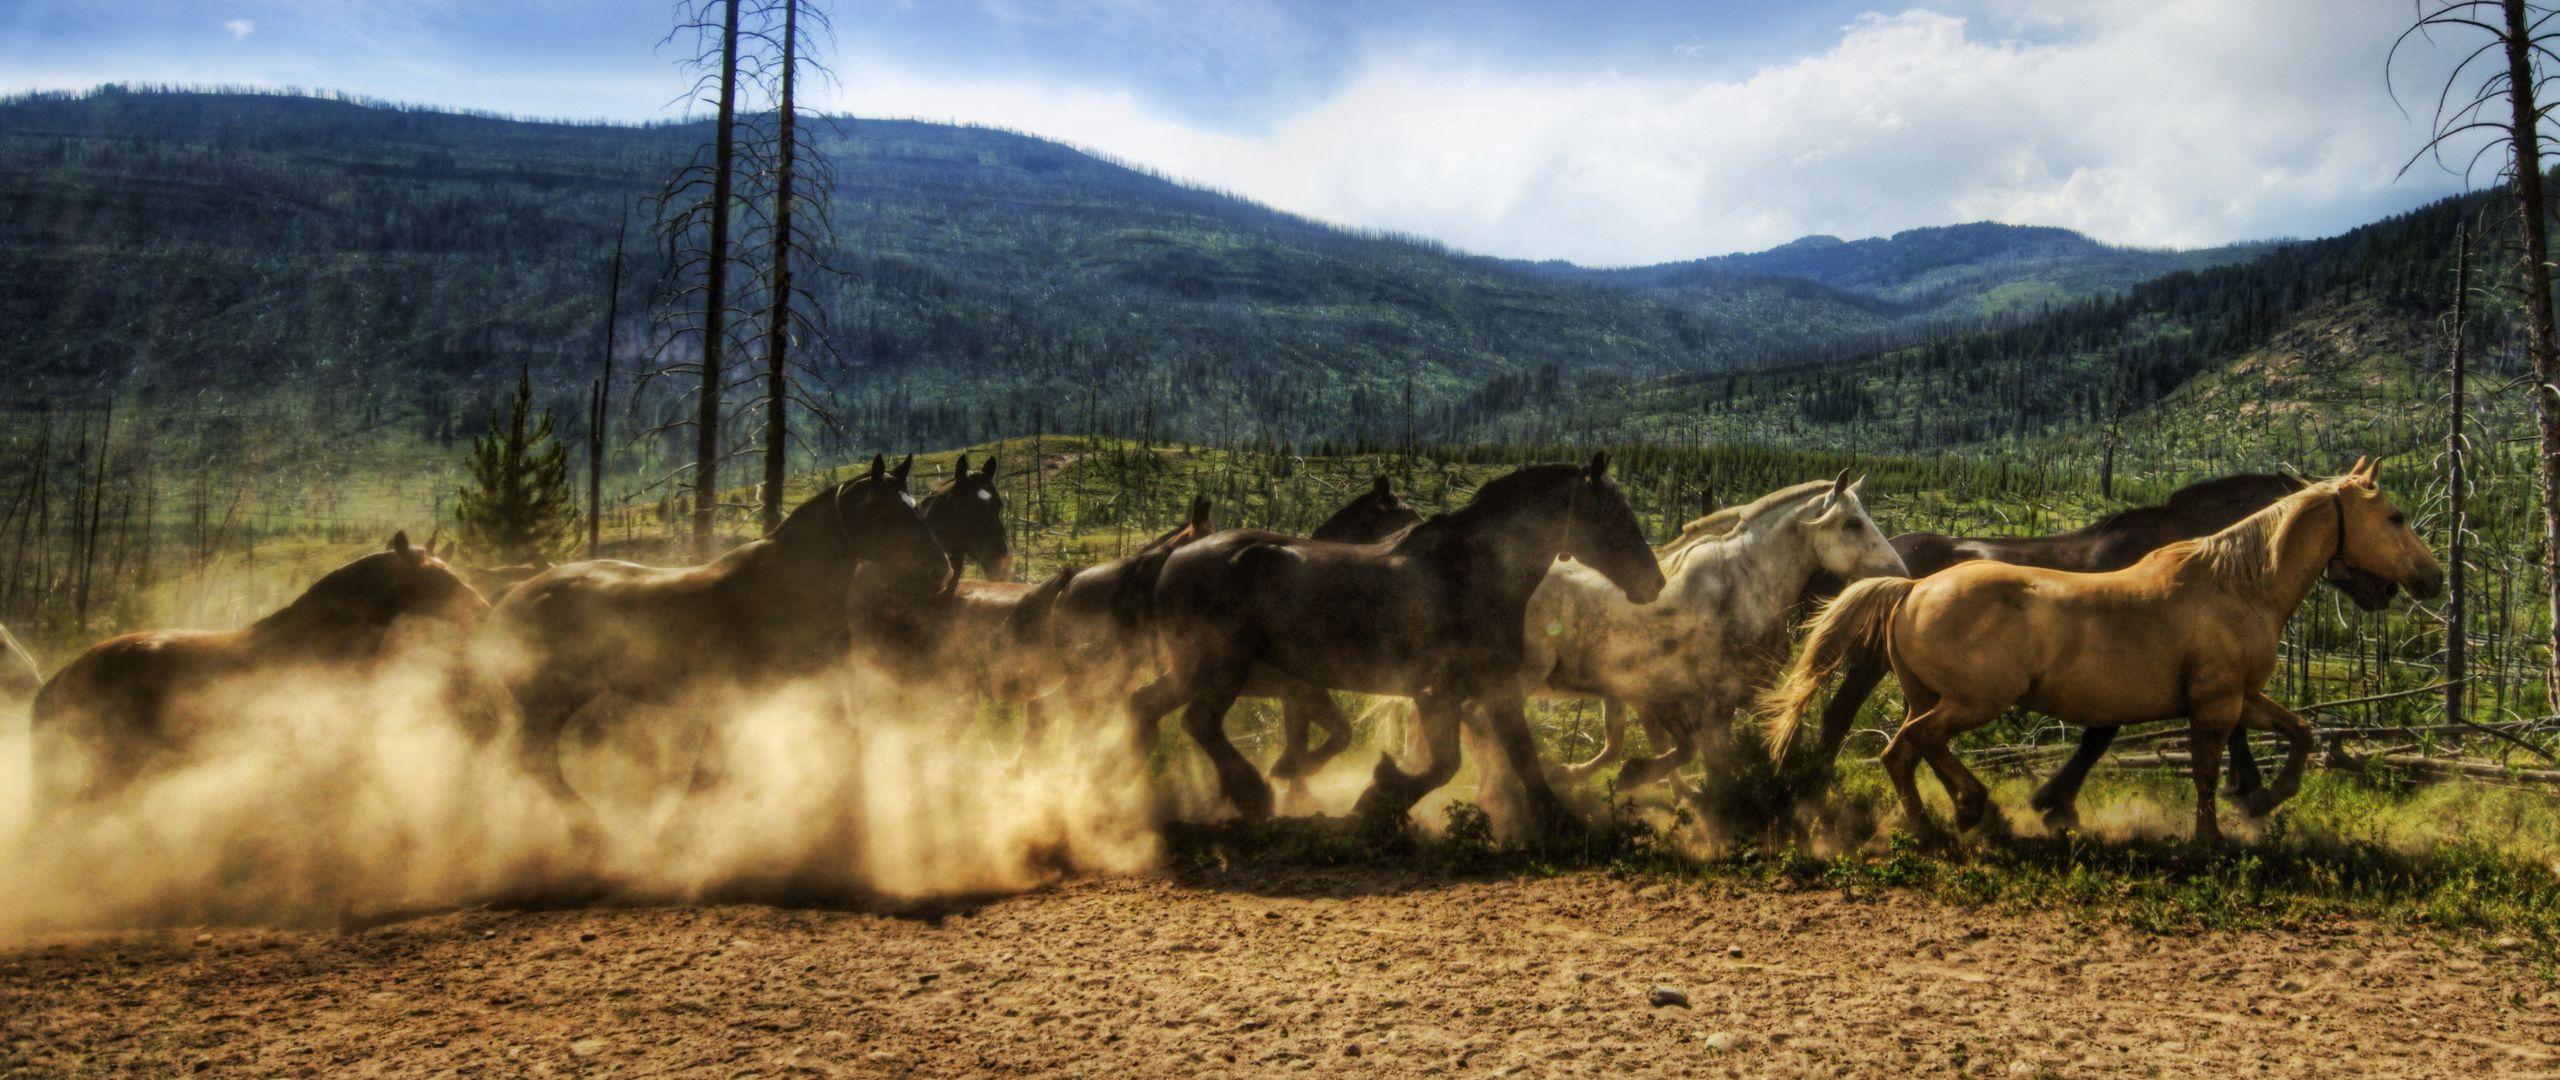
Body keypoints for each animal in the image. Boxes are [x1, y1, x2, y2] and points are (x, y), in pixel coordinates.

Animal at [485, 455, 953, 806]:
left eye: (916, 503)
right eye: (884, 510)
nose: (940, 570)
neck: (786, 585)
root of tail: (514, 595)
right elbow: (708, 774)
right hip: (546, 702)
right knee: (536, 764)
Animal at [1134, 456, 1665, 834]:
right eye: (1613, 516)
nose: (1654, 581)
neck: (1472, 573)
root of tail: (1175, 559)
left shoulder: (1491, 689)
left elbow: (1523, 758)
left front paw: (1560, 821)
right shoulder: (1439, 692)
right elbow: (1448, 764)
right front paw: (1377, 798)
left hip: (1194, 670)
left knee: (1146, 706)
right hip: (1221, 668)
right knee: (1198, 721)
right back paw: (1250, 795)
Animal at [1521, 472, 1906, 793]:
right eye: (1853, 523)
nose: (1901, 572)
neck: (1742, 582)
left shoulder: (1745, 691)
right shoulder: (1704, 700)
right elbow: (1702, 758)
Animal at [1762, 459, 2441, 847]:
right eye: (2396, 516)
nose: (2431, 579)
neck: (2232, 580)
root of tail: (1907, 584)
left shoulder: (2234, 694)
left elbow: (2298, 732)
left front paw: (2260, 799)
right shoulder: (2212, 696)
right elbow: (2196, 760)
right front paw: (2221, 824)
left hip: (1932, 695)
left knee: (1914, 742)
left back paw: (1968, 810)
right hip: (1964, 697)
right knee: (1883, 738)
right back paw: (1907, 816)